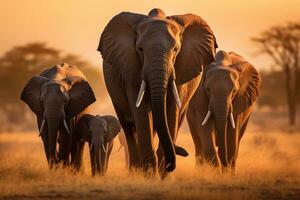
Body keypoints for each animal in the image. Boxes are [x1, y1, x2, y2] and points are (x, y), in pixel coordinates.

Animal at [98, 7, 218, 173]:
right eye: (140, 49)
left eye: (176, 49)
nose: (183, 153)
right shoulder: (131, 69)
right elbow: (141, 111)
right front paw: (149, 174)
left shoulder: (181, 69)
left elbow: (171, 111)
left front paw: (162, 173)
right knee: (129, 126)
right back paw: (135, 171)